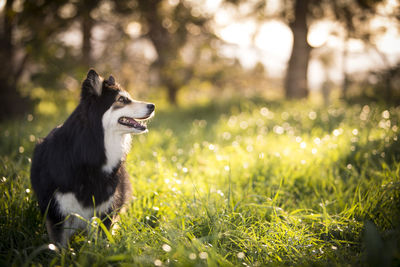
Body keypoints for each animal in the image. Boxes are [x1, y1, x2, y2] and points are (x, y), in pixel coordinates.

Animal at [29, 69, 155, 247]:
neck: (88, 152)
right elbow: (60, 246)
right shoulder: (56, 211)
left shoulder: (106, 208)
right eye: (121, 100)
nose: (153, 106)